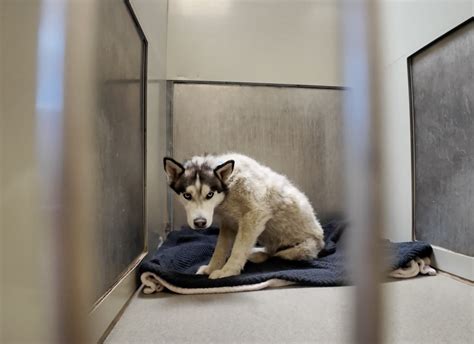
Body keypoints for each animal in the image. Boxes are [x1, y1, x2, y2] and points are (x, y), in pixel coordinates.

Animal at [165, 153, 324, 280]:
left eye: (209, 194)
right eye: (187, 195)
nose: (200, 223)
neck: (229, 185)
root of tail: (321, 242)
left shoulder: (254, 215)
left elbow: (238, 249)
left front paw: (228, 271)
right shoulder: (228, 222)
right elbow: (220, 249)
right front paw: (212, 268)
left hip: (300, 248)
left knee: (277, 254)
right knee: (270, 251)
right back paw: (257, 253)